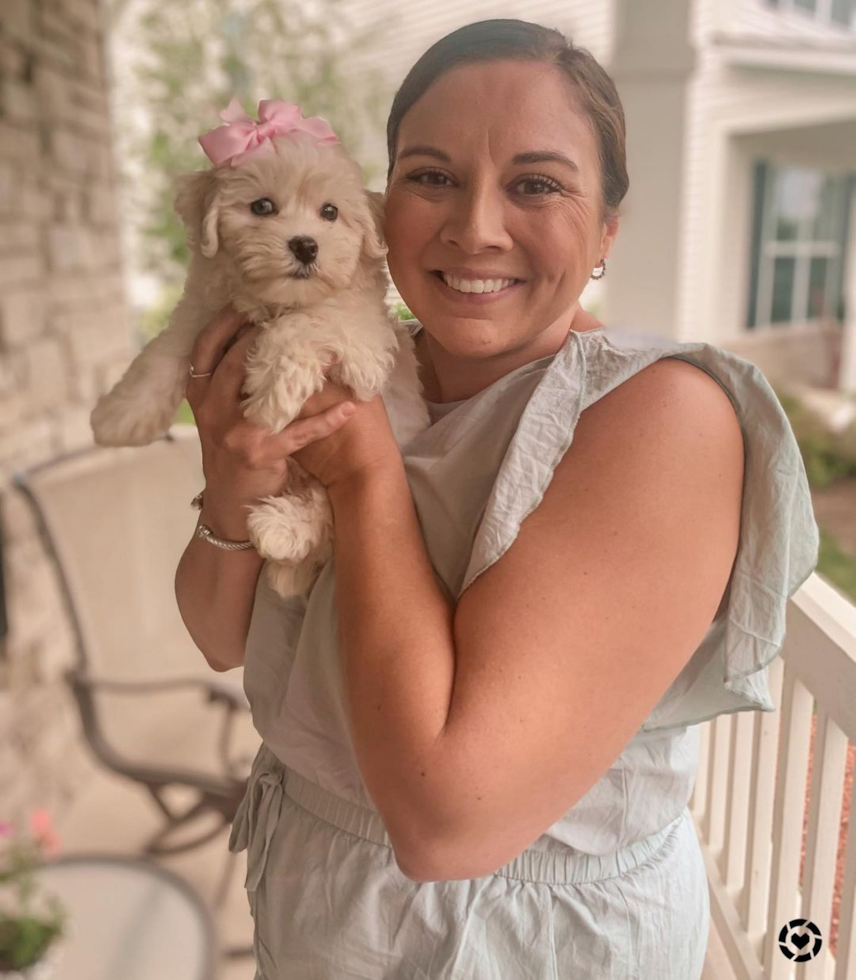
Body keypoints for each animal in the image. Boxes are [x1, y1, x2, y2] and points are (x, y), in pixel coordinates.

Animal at [88, 125, 428, 596]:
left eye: (330, 212)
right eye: (262, 206)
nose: (305, 245)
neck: (270, 301)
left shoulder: (365, 337)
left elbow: (307, 322)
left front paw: (271, 395)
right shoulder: (201, 315)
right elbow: (162, 355)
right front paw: (118, 416)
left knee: (325, 511)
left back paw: (280, 529)